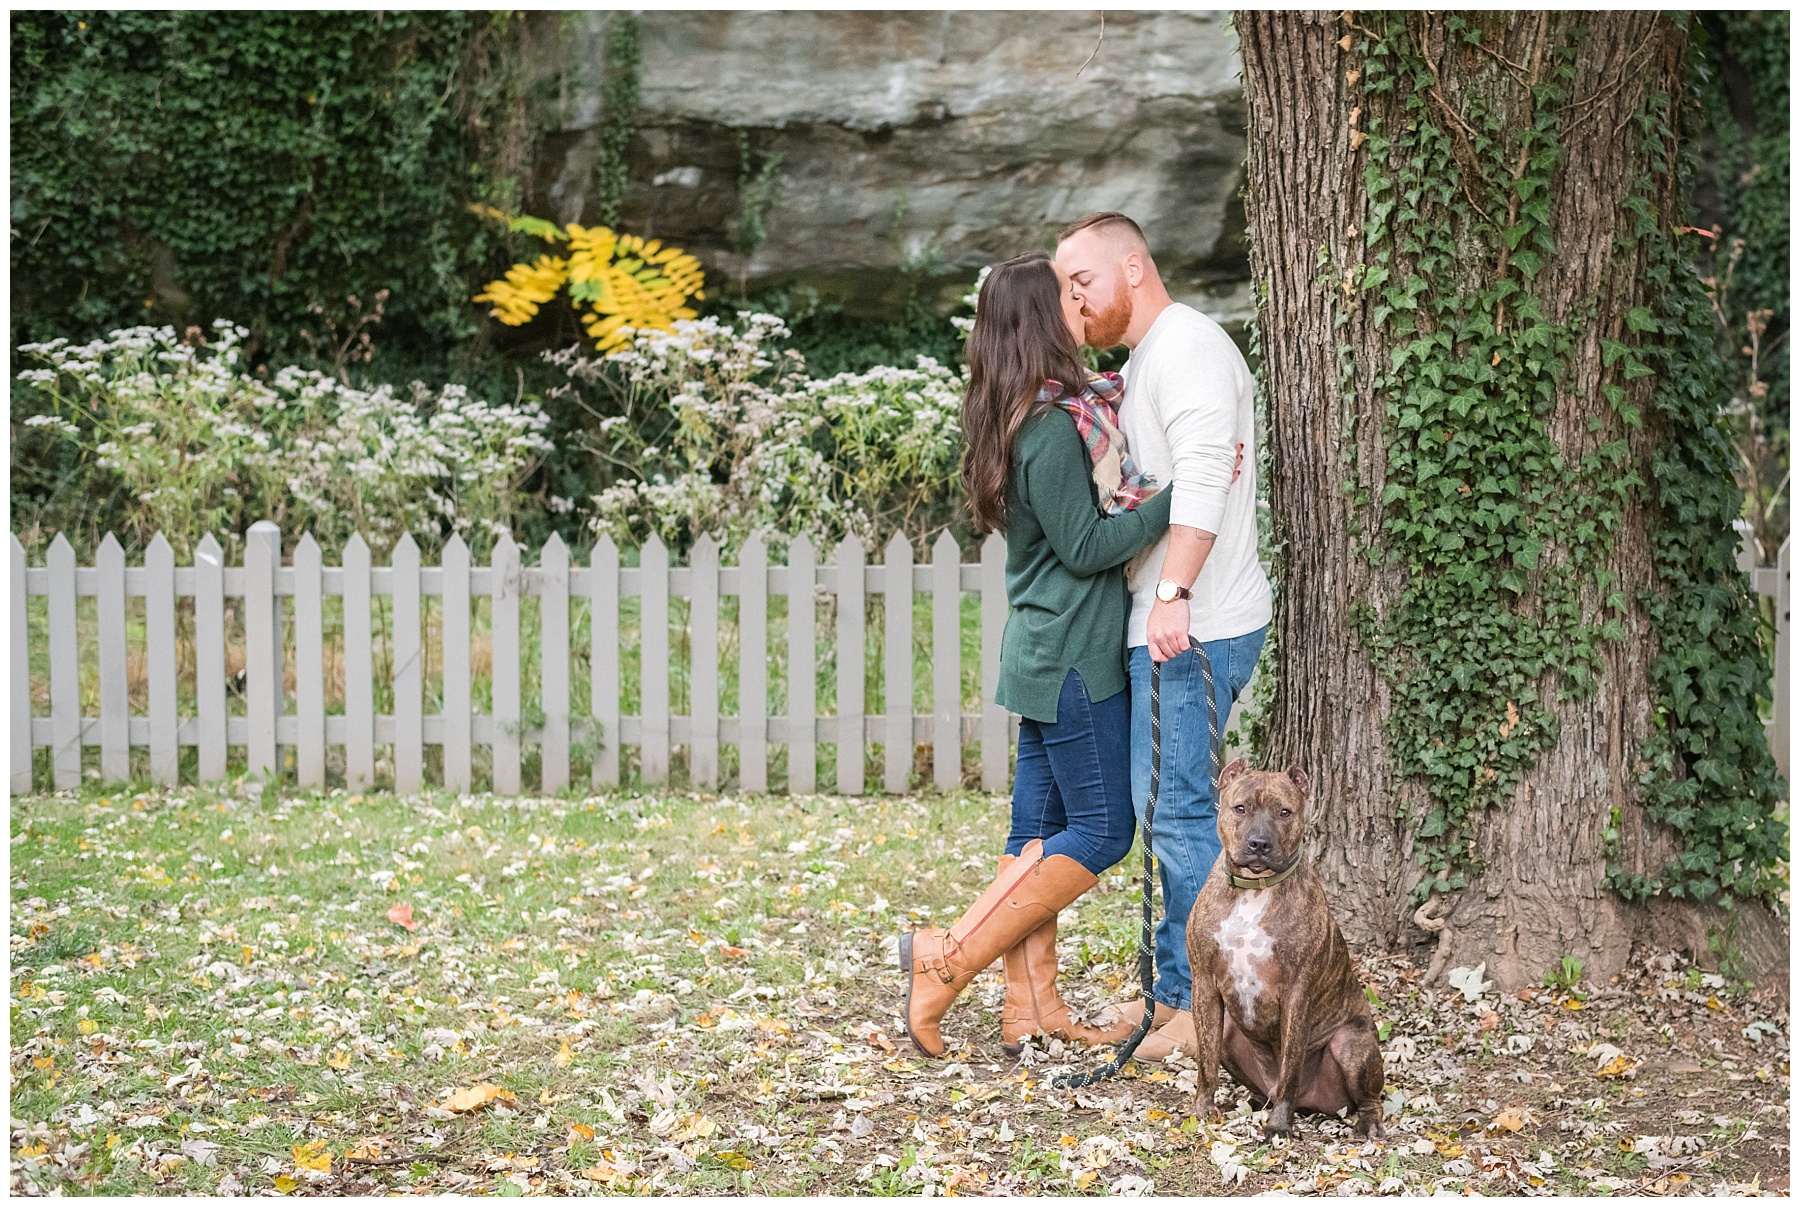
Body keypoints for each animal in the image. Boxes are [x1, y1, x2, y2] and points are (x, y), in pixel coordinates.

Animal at [1188, 759, 1382, 1136]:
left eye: (1284, 812)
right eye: (1240, 808)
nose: (1259, 843)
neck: (1254, 889)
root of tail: (1315, 1104)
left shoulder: (1296, 993)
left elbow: (1290, 1066)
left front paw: (1279, 1126)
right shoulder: (1204, 984)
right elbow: (1206, 1060)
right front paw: (1202, 1109)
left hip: (1351, 1043)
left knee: (1367, 1098)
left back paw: (1367, 1122)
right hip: (1231, 1031)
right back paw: (1254, 1102)